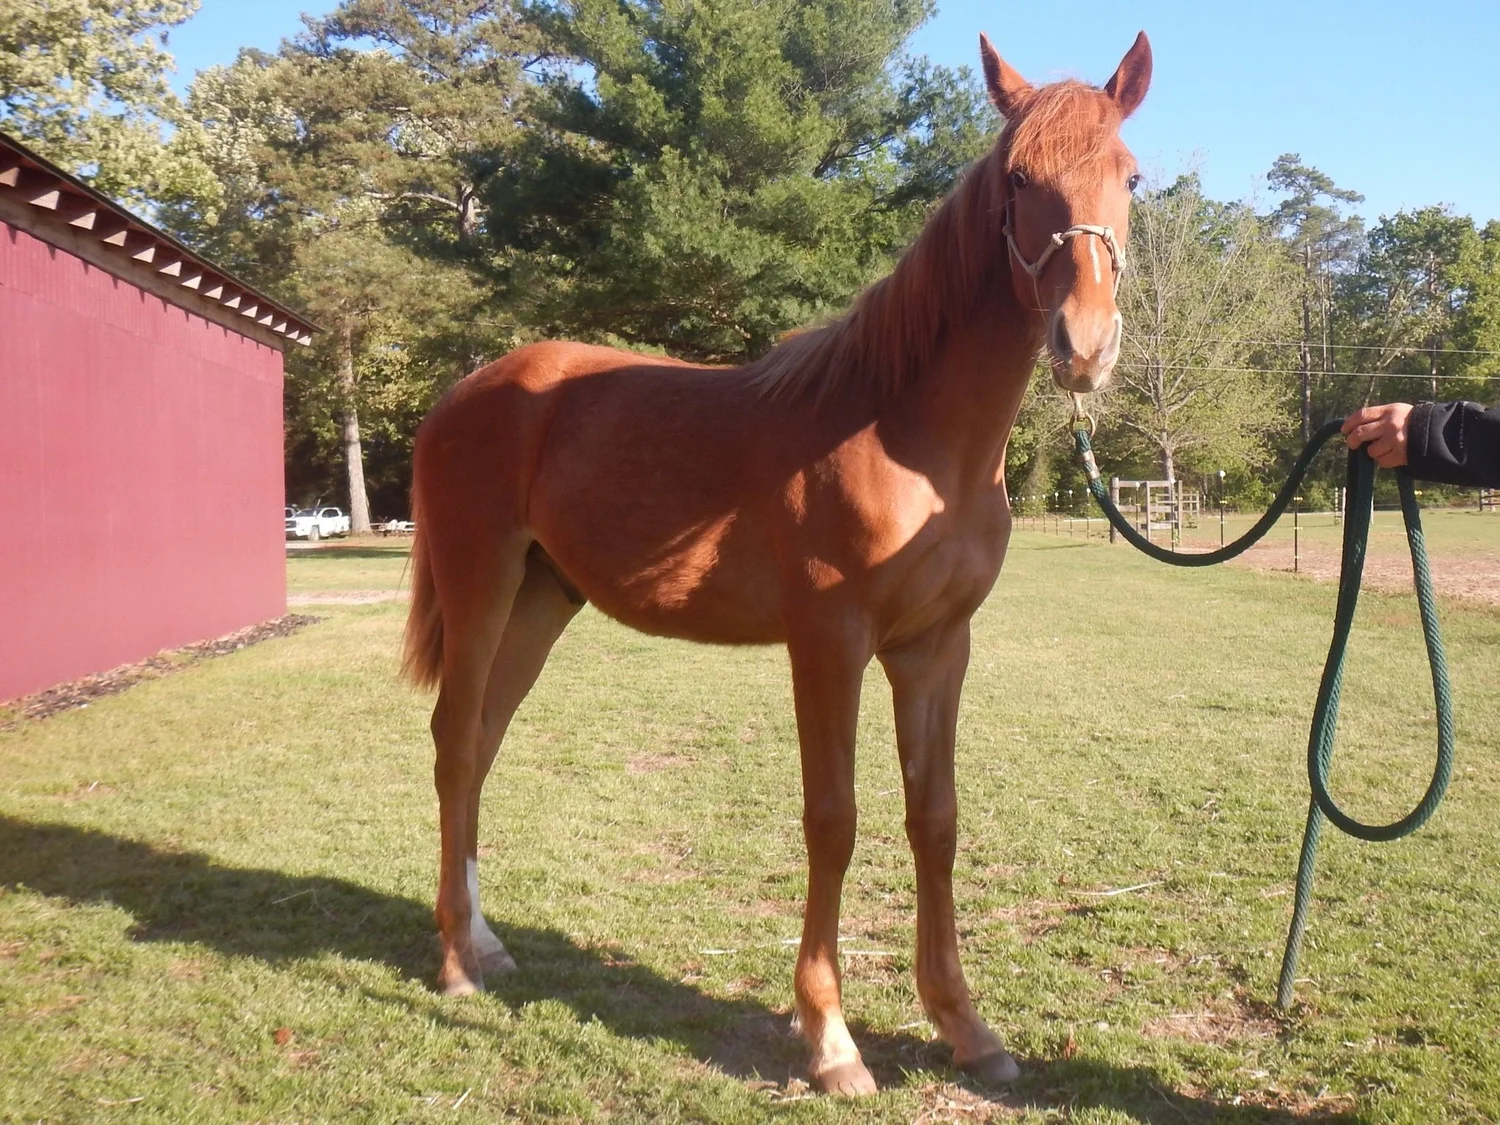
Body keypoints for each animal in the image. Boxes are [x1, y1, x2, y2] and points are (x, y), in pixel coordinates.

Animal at [401, 31, 1152, 1095]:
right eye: (1017, 178)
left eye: (1130, 176)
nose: (1084, 345)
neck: (907, 433)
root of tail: (467, 393)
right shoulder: (829, 640)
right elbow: (833, 819)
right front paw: (831, 1040)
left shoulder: (935, 648)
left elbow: (935, 820)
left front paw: (966, 1027)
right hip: (481, 584)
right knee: (456, 743)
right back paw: (459, 962)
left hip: (544, 600)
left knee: (482, 744)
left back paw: (488, 942)